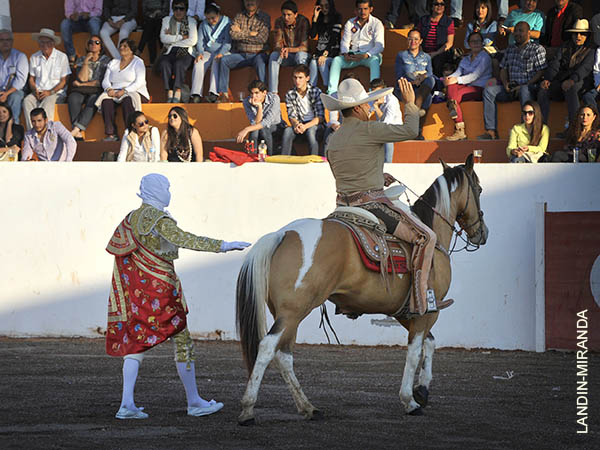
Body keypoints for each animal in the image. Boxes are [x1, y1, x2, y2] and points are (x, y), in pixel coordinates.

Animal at [234, 155, 488, 426]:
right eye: (479, 189)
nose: (482, 233)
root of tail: (282, 234)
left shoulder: (404, 311)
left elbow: (429, 343)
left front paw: (422, 390)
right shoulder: (428, 309)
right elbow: (414, 351)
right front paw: (410, 400)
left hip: (287, 313)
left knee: (283, 354)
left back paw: (308, 407)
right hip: (294, 311)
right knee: (267, 347)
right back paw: (248, 409)